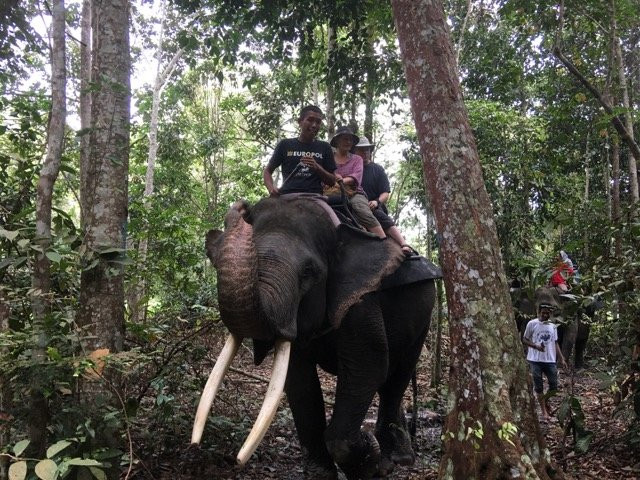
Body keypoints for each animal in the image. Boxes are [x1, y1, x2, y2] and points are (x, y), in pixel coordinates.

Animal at [190, 196, 439, 479]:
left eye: (308, 271)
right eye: (215, 263)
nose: (241, 207)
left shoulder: (362, 298)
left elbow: (368, 366)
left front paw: (370, 461)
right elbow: (299, 381)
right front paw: (323, 473)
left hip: (425, 312)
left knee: (397, 377)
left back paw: (393, 460)